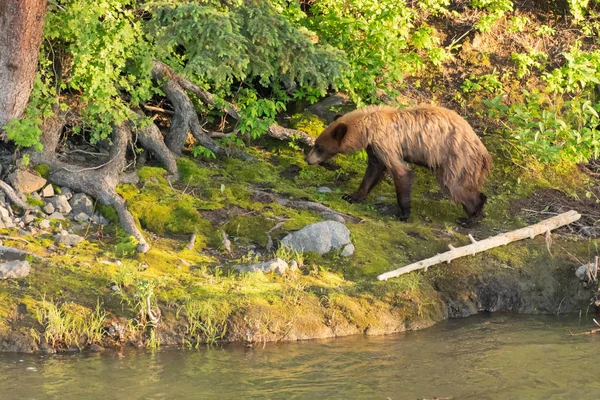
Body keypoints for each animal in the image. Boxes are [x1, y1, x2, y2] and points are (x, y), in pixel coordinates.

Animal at [304, 104, 492, 222]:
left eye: (318, 146)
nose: (307, 159)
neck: (368, 127)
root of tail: (483, 151)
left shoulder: (385, 142)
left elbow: (401, 172)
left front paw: (404, 213)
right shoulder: (374, 148)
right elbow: (373, 171)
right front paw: (351, 196)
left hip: (457, 158)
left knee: (454, 185)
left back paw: (472, 215)